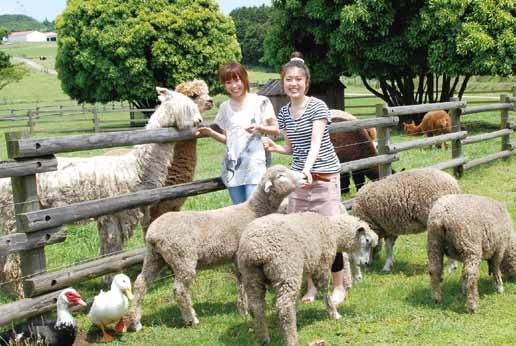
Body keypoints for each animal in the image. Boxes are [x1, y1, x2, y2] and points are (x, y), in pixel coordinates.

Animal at [0, 83, 208, 294]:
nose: (200, 121)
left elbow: (110, 249)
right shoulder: (113, 213)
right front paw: (112, 280)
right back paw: (19, 291)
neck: (135, 168)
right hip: (14, 218)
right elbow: (112, 247)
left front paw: (110, 279)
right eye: (188, 105)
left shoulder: (111, 215)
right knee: (14, 258)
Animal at [126, 165, 306, 330]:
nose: (304, 177)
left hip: (155, 257)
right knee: (179, 289)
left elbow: (241, 281)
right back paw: (191, 319)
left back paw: (136, 322)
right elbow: (243, 281)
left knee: (141, 283)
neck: (254, 211)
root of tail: (152, 233)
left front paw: (243, 308)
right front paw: (246, 309)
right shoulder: (241, 256)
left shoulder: (236, 257)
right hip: (182, 256)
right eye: (281, 175)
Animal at [239, 211, 378, 346]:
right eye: (367, 240)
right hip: (286, 270)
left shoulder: (304, 269)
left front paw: (297, 309)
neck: (334, 232)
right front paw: (334, 313)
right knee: (284, 308)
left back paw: (264, 338)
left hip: (252, 276)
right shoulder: (322, 264)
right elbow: (324, 290)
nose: (366, 263)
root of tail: (256, 250)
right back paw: (292, 340)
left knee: (257, 306)